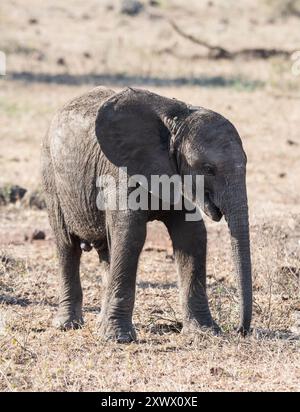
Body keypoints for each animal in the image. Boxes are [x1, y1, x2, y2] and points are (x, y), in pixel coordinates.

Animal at [42, 86, 252, 342]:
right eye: (208, 169)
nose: (240, 330)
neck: (176, 121)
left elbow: (192, 235)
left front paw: (203, 331)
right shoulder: (122, 170)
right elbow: (131, 234)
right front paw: (118, 339)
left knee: (106, 249)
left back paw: (100, 322)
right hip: (51, 175)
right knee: (67, 245)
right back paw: (67, 325)